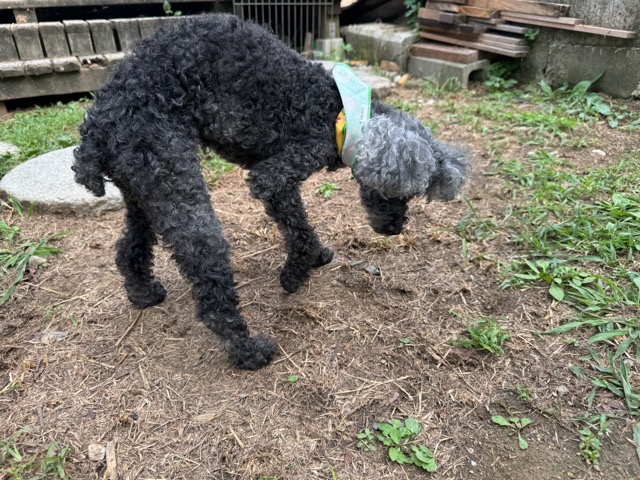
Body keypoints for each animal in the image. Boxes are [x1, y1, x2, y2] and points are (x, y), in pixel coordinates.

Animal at [73, 13, 470, 370]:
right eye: (396, 193)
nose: (395, 228)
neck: (338, 111)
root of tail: (96, 124)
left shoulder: (278, 182)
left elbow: (299, 225)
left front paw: (316, 256)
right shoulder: (276, 172)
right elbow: (297, 228)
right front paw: (295, 275)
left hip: (143, 187)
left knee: (130, 247)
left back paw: (143, 293)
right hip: (176, 182)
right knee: (209, 283)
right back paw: (248, 350)